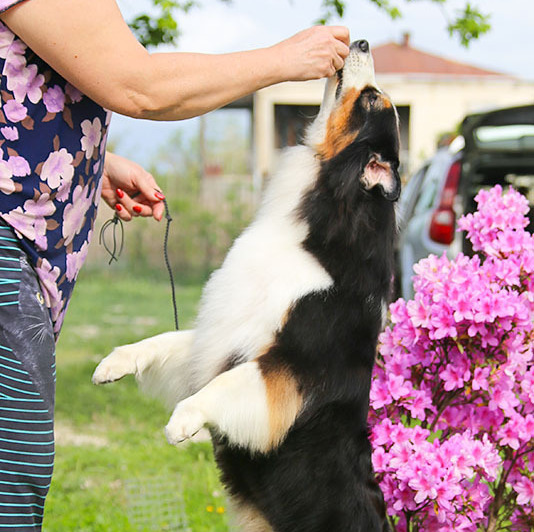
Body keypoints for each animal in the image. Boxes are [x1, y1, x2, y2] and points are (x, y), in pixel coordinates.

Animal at [93, 39, 399, 532]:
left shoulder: (287, 368)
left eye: (372, 100)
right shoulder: (221, 336)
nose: (362, 42)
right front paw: (114, 363)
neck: (317, 228)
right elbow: (167, 342)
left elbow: (222, 387)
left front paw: (183, 421)